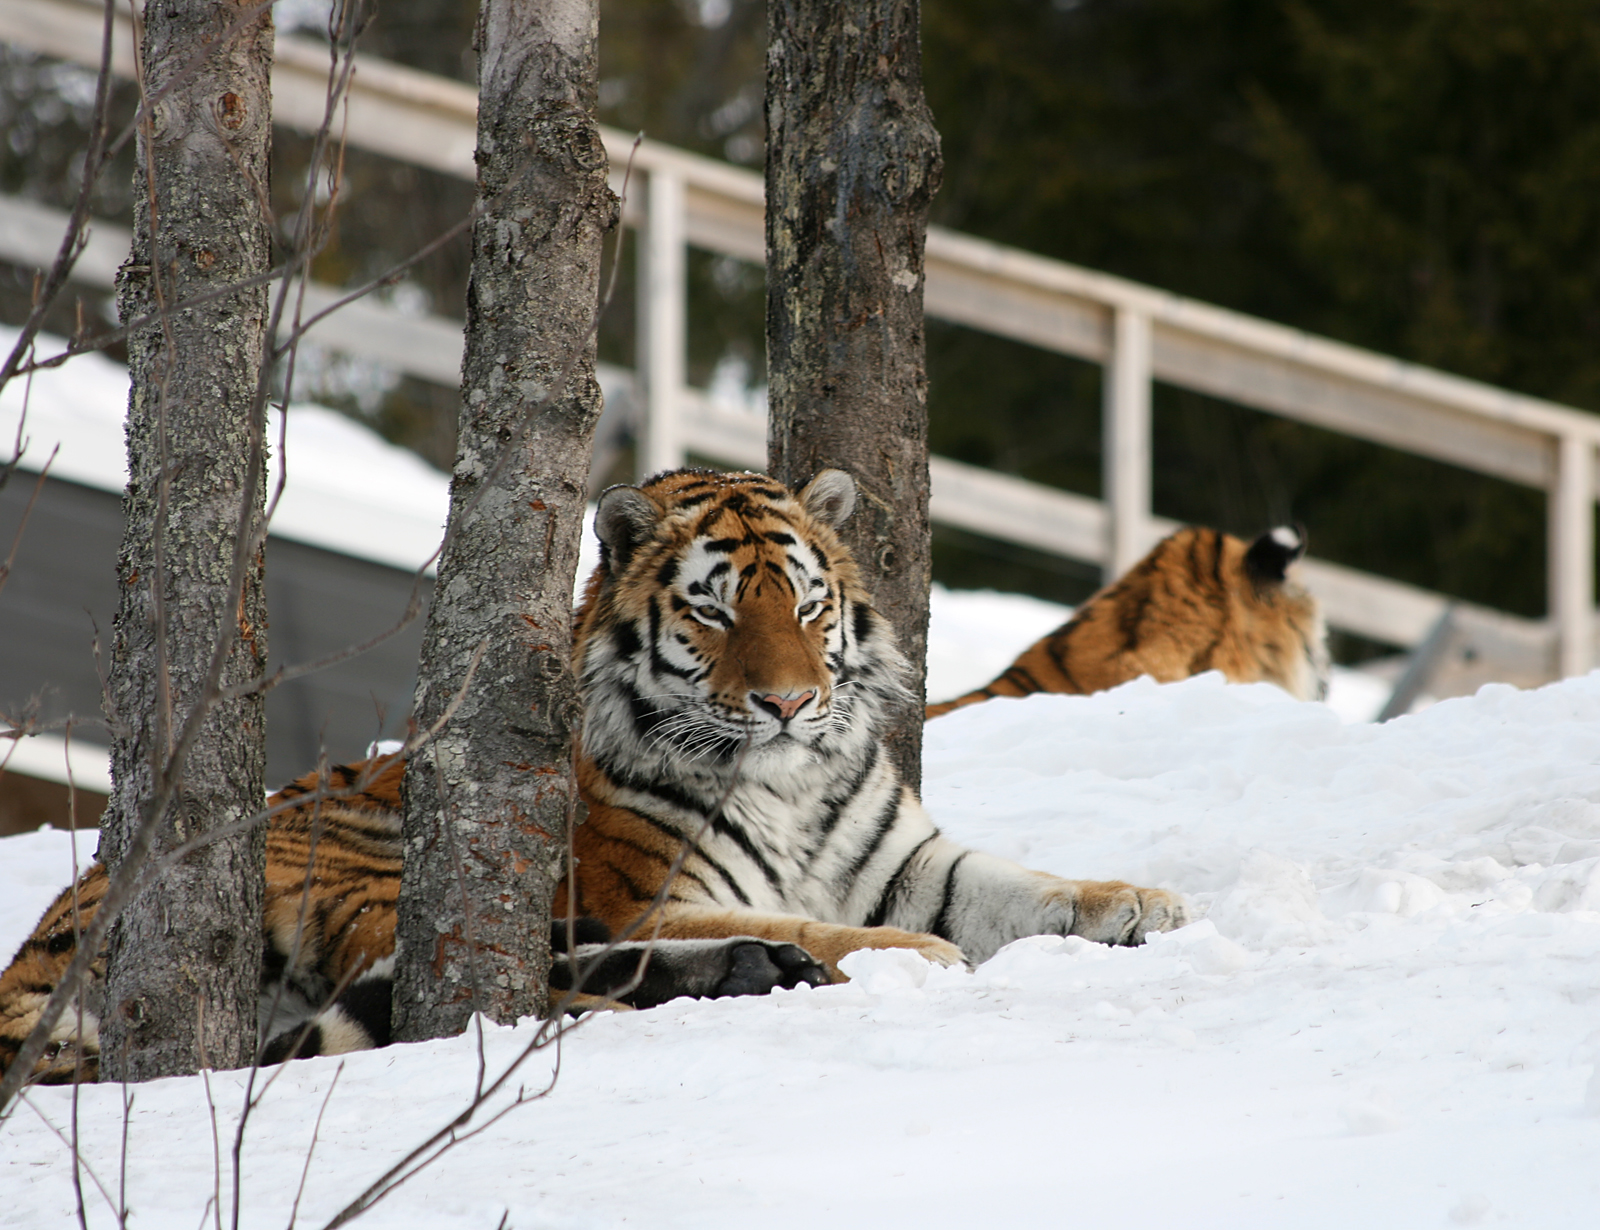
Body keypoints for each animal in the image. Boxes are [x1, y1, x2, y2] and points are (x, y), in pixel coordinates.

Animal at [2, 465, 1188, 1087]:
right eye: (717, 610)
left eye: (807, 606)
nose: (788, 702)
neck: (789, 781)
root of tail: (32, 955)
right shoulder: (652, 892)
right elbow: (815, 917)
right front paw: (918, 954)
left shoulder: (908, 860)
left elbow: (1023, 884)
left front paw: (1143, 904)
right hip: (368, 862)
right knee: (507, 985)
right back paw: (773, 968)